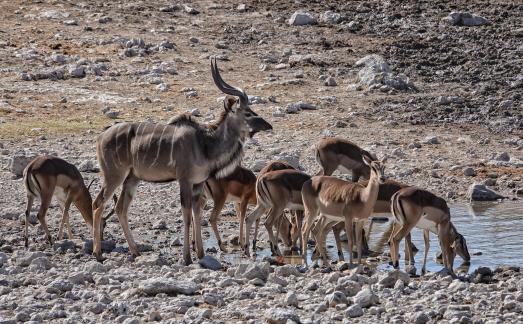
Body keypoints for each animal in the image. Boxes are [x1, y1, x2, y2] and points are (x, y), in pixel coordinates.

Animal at [91, 59, 272, 264]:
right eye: (247, 113)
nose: (267, 125)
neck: (205, 144)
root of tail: (100, 137)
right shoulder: (184, 181)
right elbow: (186, 215)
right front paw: (187, 257)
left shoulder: (198, 183)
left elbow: (197, 213)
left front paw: (200, 253)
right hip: (114, 176)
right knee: (98, 204)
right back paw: (98, 253)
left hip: (132, 179)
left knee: (120, 208)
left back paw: (135, 251)